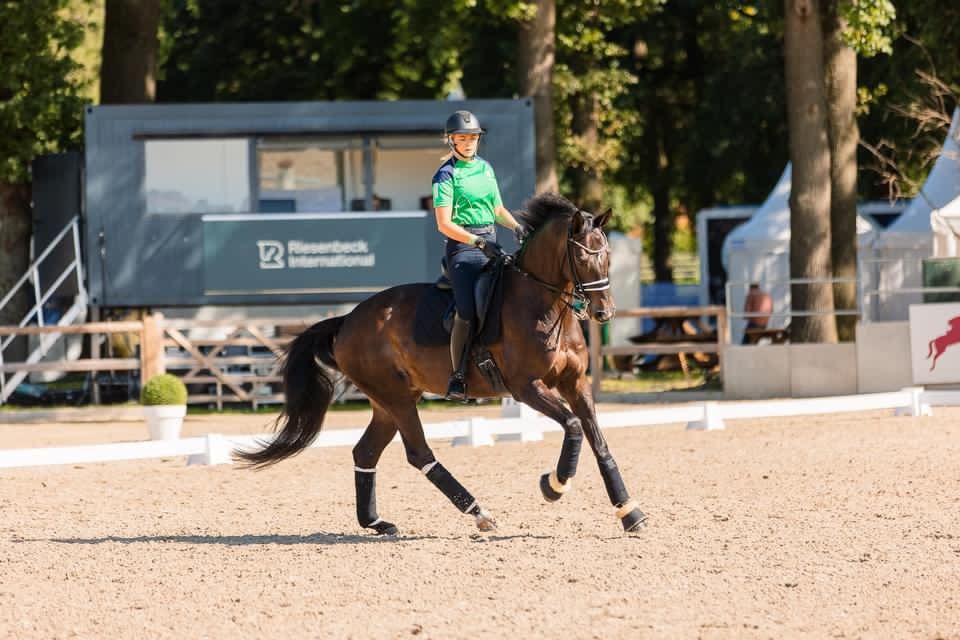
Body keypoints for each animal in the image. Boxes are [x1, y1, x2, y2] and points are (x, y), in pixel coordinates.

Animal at [235, 193, 647, 534]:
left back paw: (377, 522)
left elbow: (598, 441)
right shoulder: (526, 387)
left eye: (607, 256)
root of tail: (347, 321)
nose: (604, 312)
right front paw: (554, 484)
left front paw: (630, 512)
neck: (541, 303)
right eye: (582, 257)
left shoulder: (574, 383)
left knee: (365, 452)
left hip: (388, 402)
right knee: (419, 453)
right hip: (397, 398)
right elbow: (574, 426)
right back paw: (480, 513)